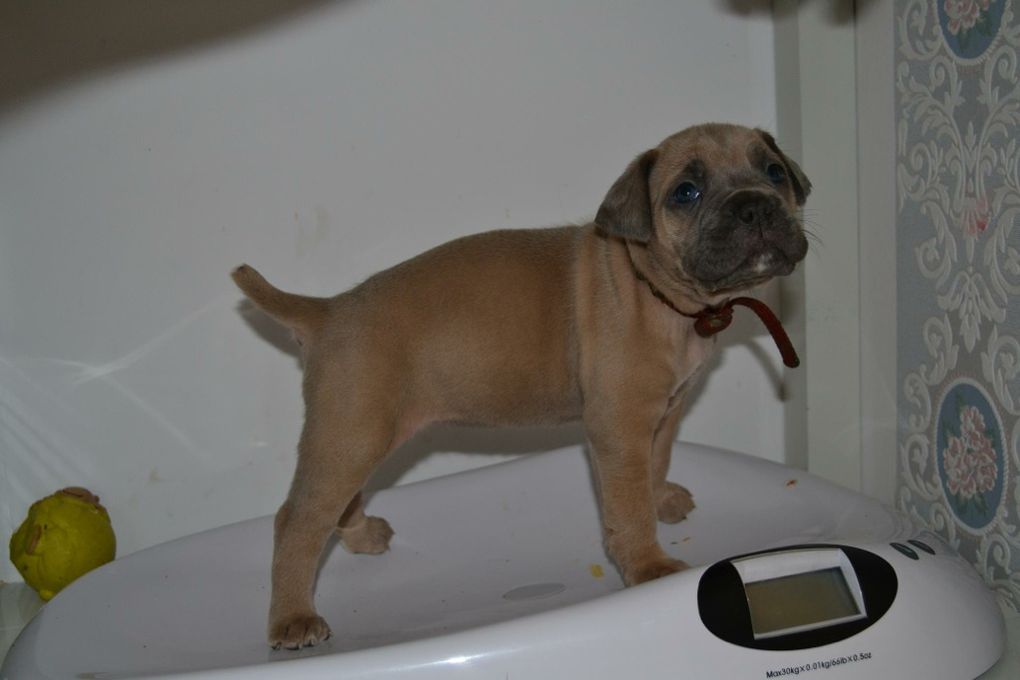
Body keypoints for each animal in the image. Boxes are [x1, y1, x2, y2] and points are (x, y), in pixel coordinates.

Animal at [233, 122, 811, 648]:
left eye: (773, 172)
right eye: (686, 193)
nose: (755, 207)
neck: (651, 286)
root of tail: (327, 312)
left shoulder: (667, 409)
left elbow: (657, 460)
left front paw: (661, 497)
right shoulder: (619, 426)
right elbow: (627, 505)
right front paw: (648, 565)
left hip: (358, 435)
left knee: (335, 502)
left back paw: (360, 534)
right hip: (351, 435)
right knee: (297, 520)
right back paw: (292, 618)